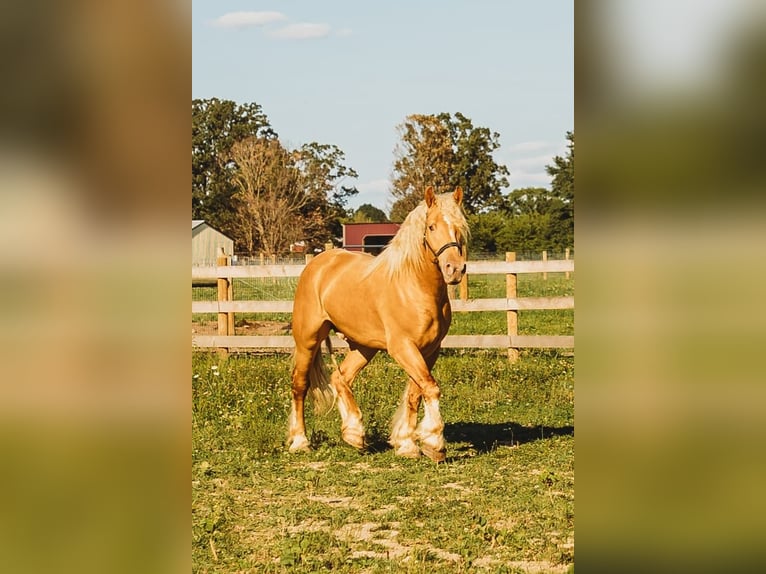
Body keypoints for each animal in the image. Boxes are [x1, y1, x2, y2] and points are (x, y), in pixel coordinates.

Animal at [288, 188, 468, 464]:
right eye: (432, 226)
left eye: (460, 227)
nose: (454, 269)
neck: (414, 287)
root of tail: (319, 263)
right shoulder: (403, 347)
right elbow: (430, 388)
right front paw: (434, 443)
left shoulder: (430, 350)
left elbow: (416, 393)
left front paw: (407, 444)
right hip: (307, 340)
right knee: (300, 385)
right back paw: (300, 441)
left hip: (364, 346)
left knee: (340, 378)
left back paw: (354, 434)